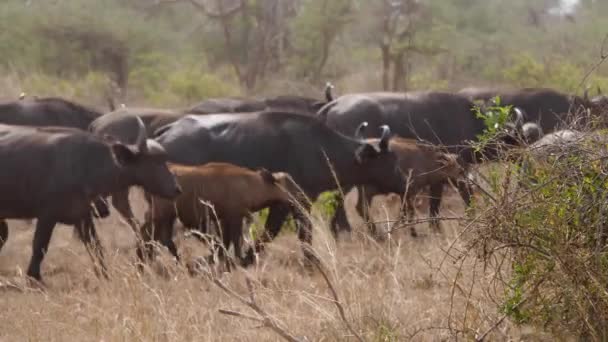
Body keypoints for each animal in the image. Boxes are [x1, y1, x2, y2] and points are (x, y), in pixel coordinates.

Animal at [0, 120, 180, 284]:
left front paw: (105, 275)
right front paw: (34, 278)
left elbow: (96, 247)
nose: (176, 189)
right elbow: (39, 247)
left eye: (164, 159)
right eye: (153, 162)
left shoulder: (83, 217)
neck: (86, 165)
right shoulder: (47, 216)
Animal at [142, 162, 300, 268]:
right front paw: (237, 260)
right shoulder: (235, 217)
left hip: (165, 217)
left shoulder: (225, 219)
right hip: (160, 215)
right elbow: (236, 242)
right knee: (149, 235)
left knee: (159, 238)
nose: (299, 198)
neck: (250, 185)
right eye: (290, 185)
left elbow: (226, 241)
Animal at [152, 111, 402, 262]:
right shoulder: (295, 202)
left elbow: (270, 234)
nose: (404, 181)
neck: (320, 148)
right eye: (390, 159)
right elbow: (290, 233)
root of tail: (166, 132)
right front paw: (311, 261)